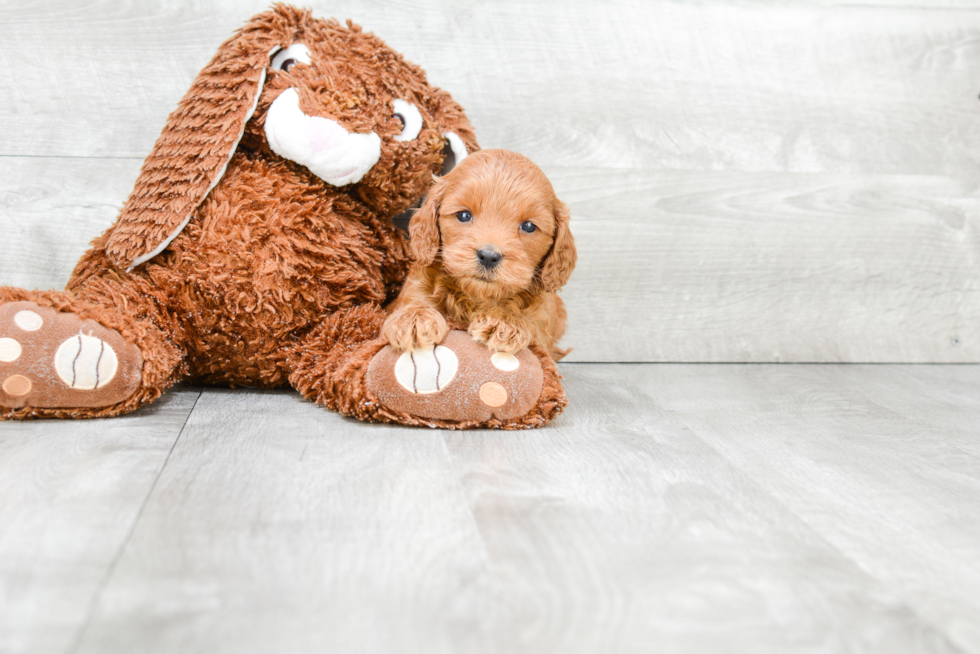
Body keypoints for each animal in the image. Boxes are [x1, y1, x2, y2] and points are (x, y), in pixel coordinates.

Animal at [380, 149, 576, 362]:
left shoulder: (543, 327)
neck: (477, 297)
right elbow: (414, 299)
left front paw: (504, 320)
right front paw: (414, 316)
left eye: (529, 226)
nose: (488, 256)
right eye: (464, 215)